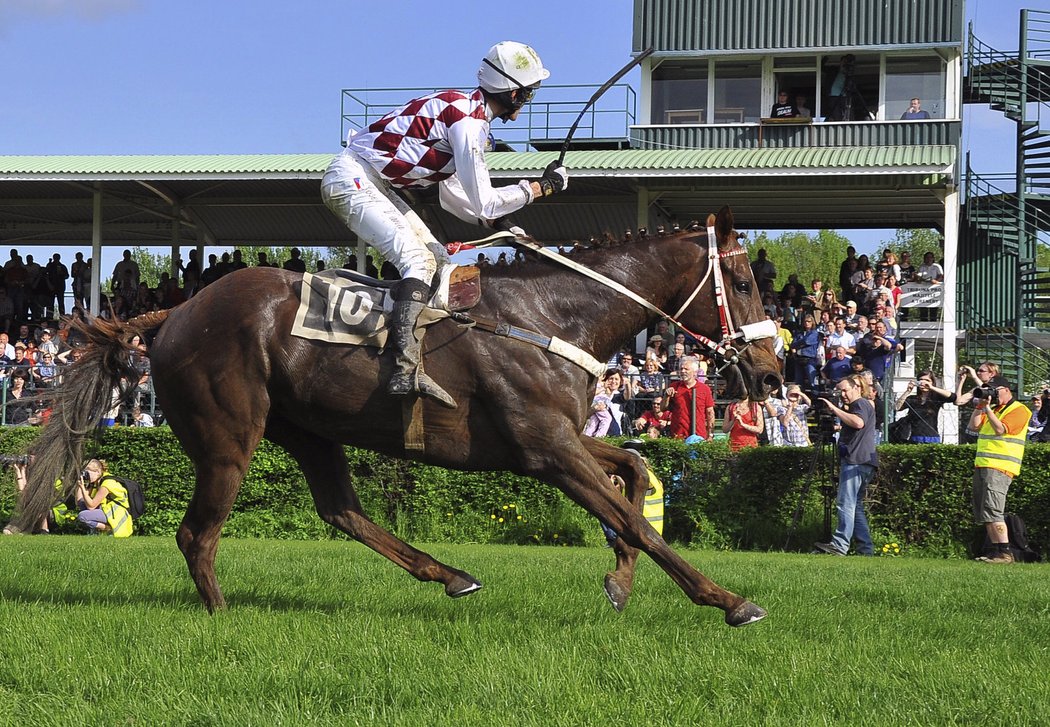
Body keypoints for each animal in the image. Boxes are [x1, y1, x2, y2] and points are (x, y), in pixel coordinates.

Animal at [16, 205, 785, 626]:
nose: (772, 373)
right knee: (196, 533)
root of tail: (173, 312)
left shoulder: (559, 437)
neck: (552, 315)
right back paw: (223, 615)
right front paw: (728, 599)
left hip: (308, 429)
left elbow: (634, 470)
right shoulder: (545, 447)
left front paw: (620, 579)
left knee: (341, 509)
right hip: (229, 436)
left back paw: (449, 574)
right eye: (744, 281)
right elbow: (633, 514)